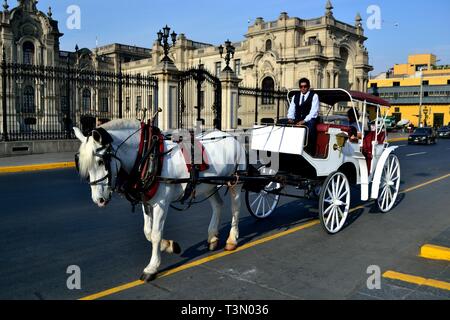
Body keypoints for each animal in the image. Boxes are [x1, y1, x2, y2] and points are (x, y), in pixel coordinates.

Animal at [73, 119, 246, 282]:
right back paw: (212, 237)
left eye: (101, 162)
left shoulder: (161, 204)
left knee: (235, 208)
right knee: (218, 205)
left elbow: (155, 233)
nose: (99, 199)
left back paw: (232, 240)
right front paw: (169, 245)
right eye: (83, 165)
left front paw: (152, 268)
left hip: (236, 181)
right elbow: (147, 232)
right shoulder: (147, 201)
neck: (148, 156)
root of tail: (231, 137)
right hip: (209, 185)